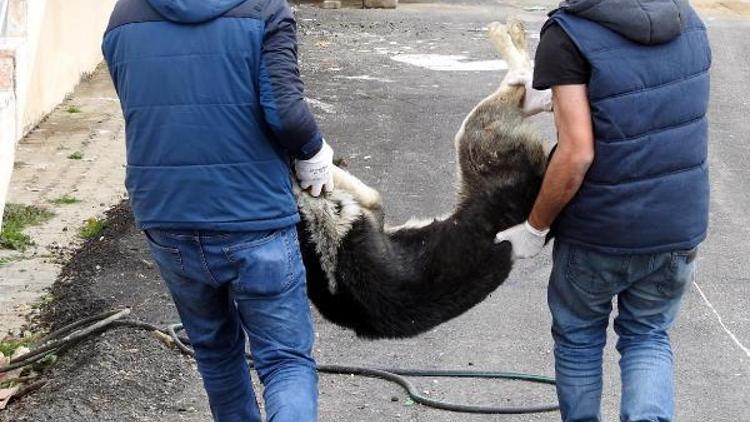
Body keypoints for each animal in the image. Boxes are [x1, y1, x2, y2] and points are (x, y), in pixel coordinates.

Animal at [296, 19, 548, 340]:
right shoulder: (369, 211)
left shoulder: (369, 211)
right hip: (475, 136)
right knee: (519, 87)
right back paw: (511, 40)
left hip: (473, 136)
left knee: (520, 77)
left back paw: (509, 35)